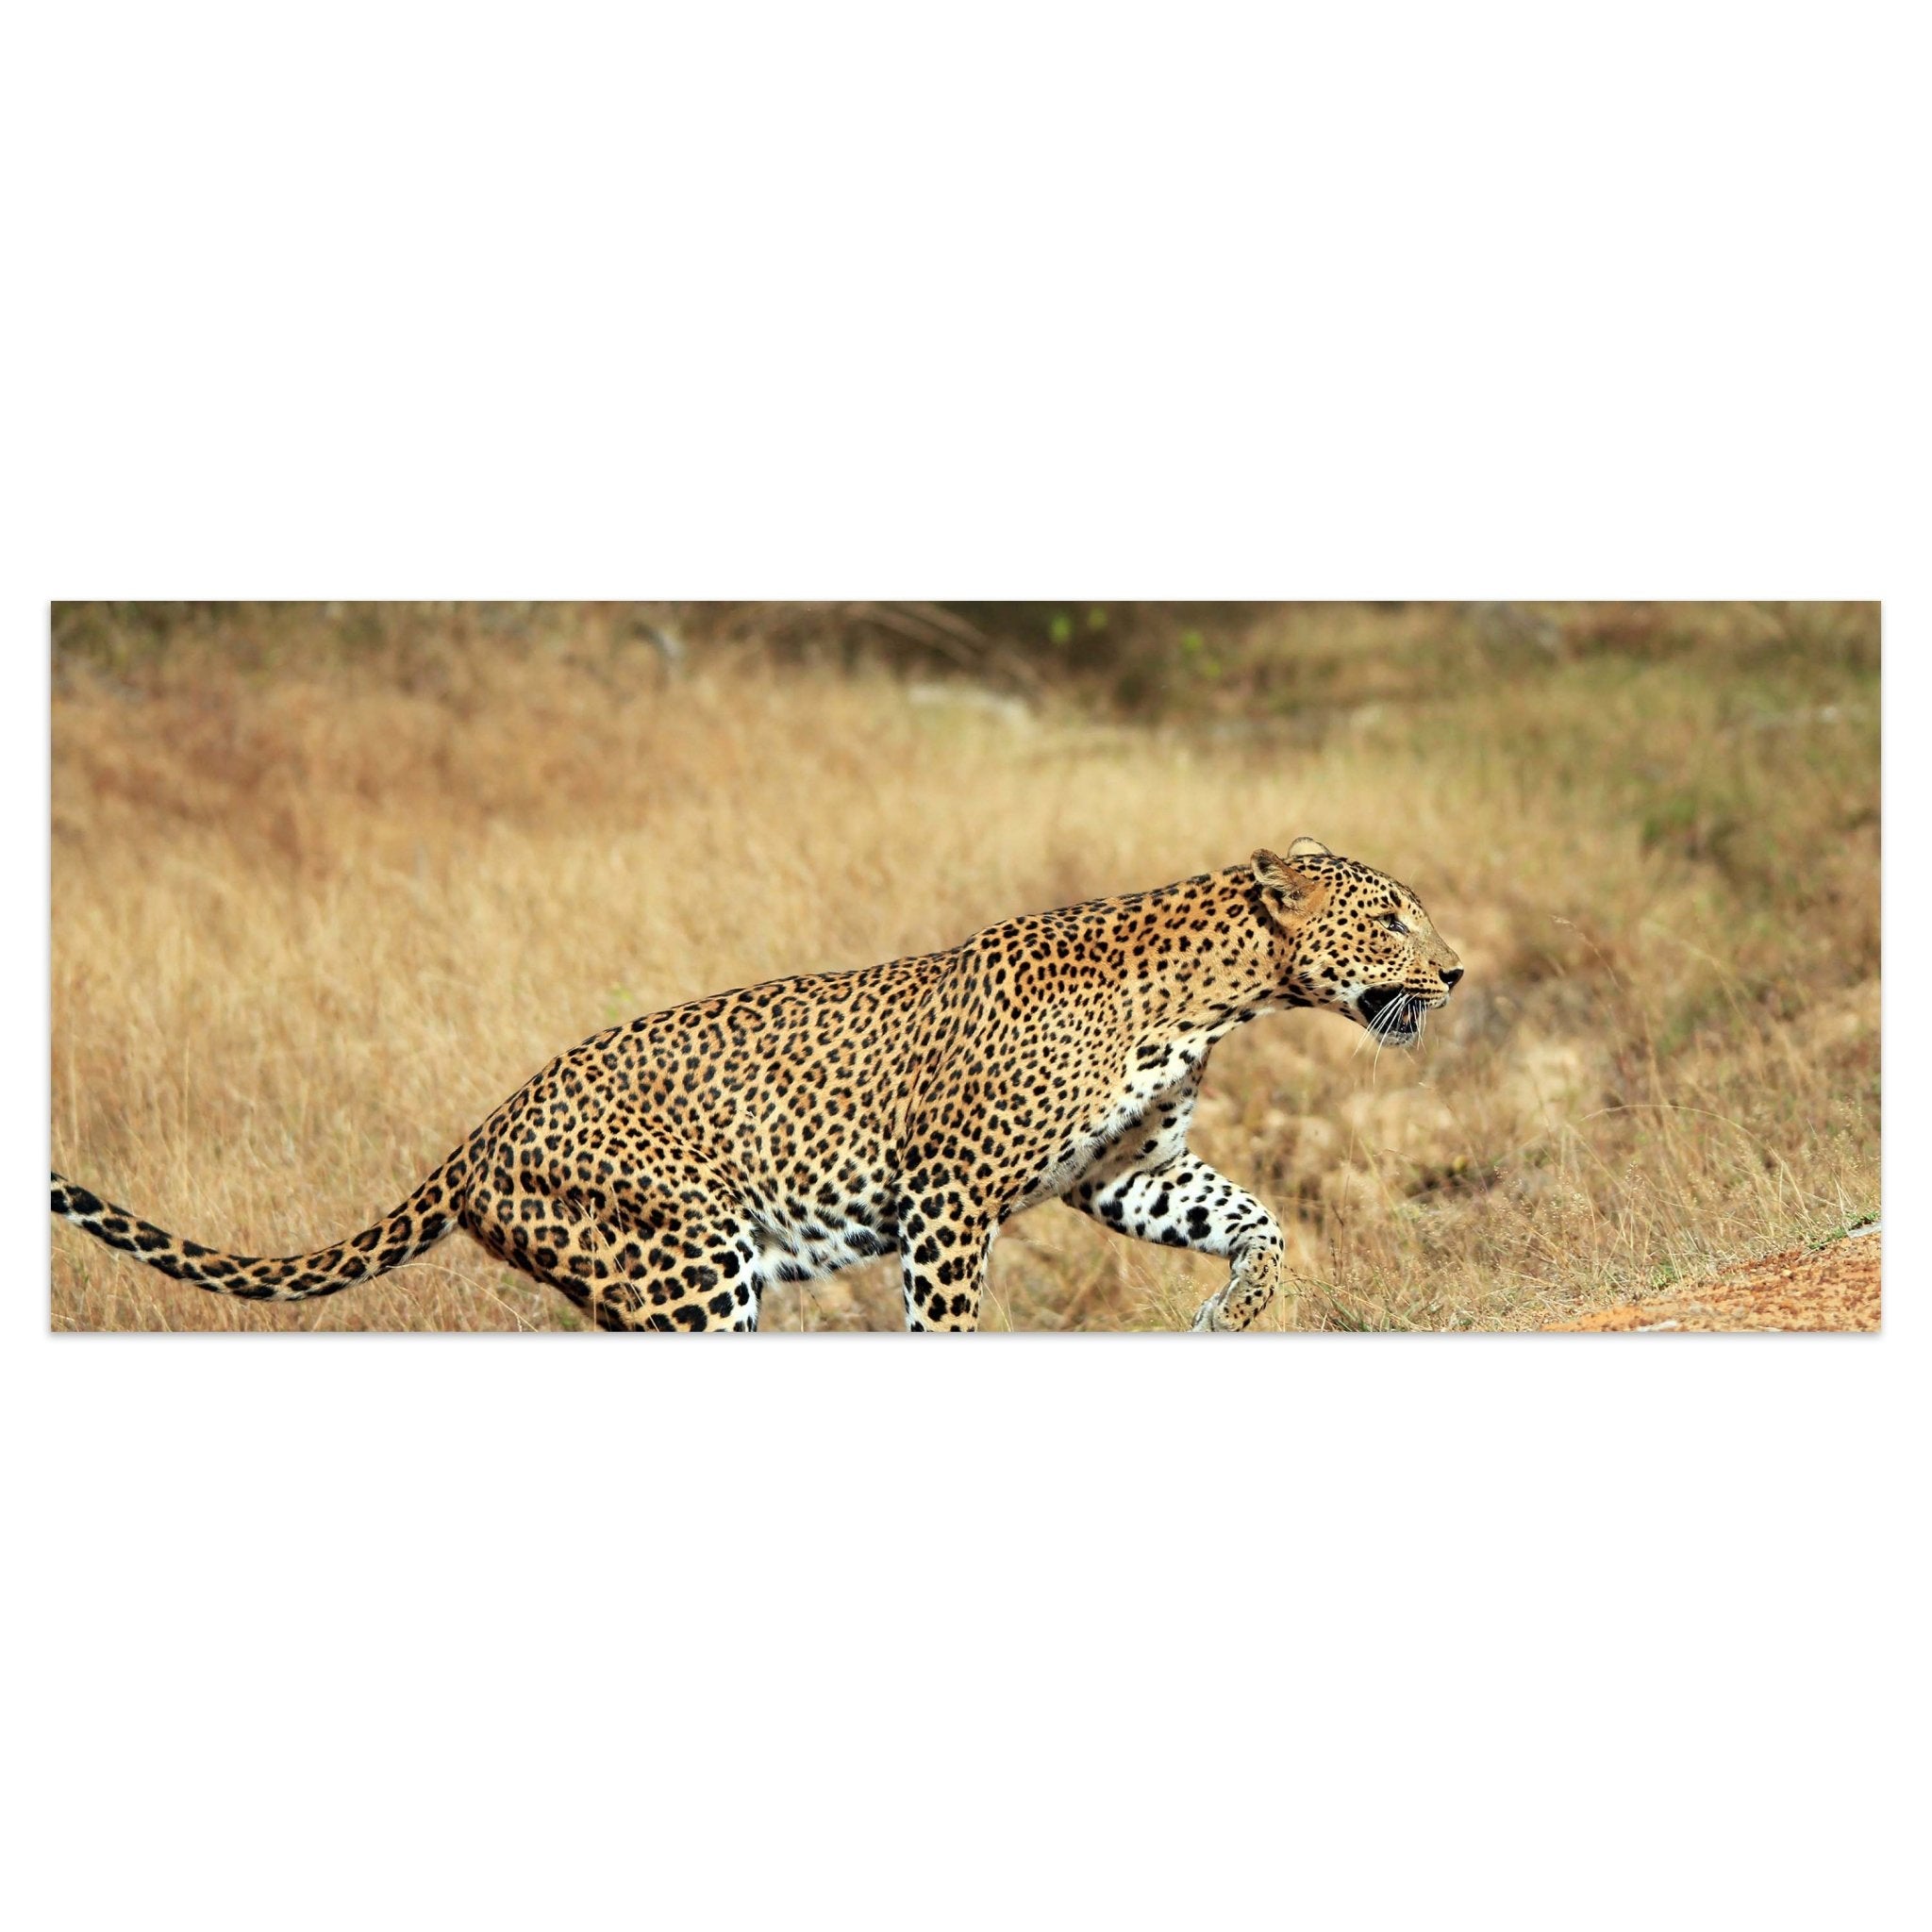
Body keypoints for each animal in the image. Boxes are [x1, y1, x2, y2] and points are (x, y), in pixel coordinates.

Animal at [50, 838, 1462, 1332]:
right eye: (1391, 914)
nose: (1454, 972)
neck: (1211, 996)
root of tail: (484, 1128)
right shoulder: (950, 1198)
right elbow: (947, 1322)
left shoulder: (1125, 1175)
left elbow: (1257, 1220)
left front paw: (1236, 1308)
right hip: (689, 1261)